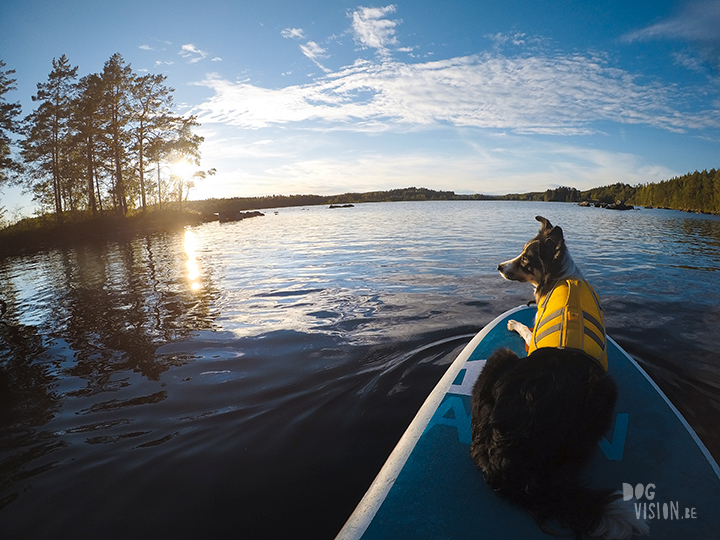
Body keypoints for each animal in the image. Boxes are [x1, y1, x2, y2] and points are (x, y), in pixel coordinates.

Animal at [470, 216, 648, 540]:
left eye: (525, 260)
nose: (499, 267)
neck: (561, 277)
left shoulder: (530, 340)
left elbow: (527, 330)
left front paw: (514, 323)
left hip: (502, 357)